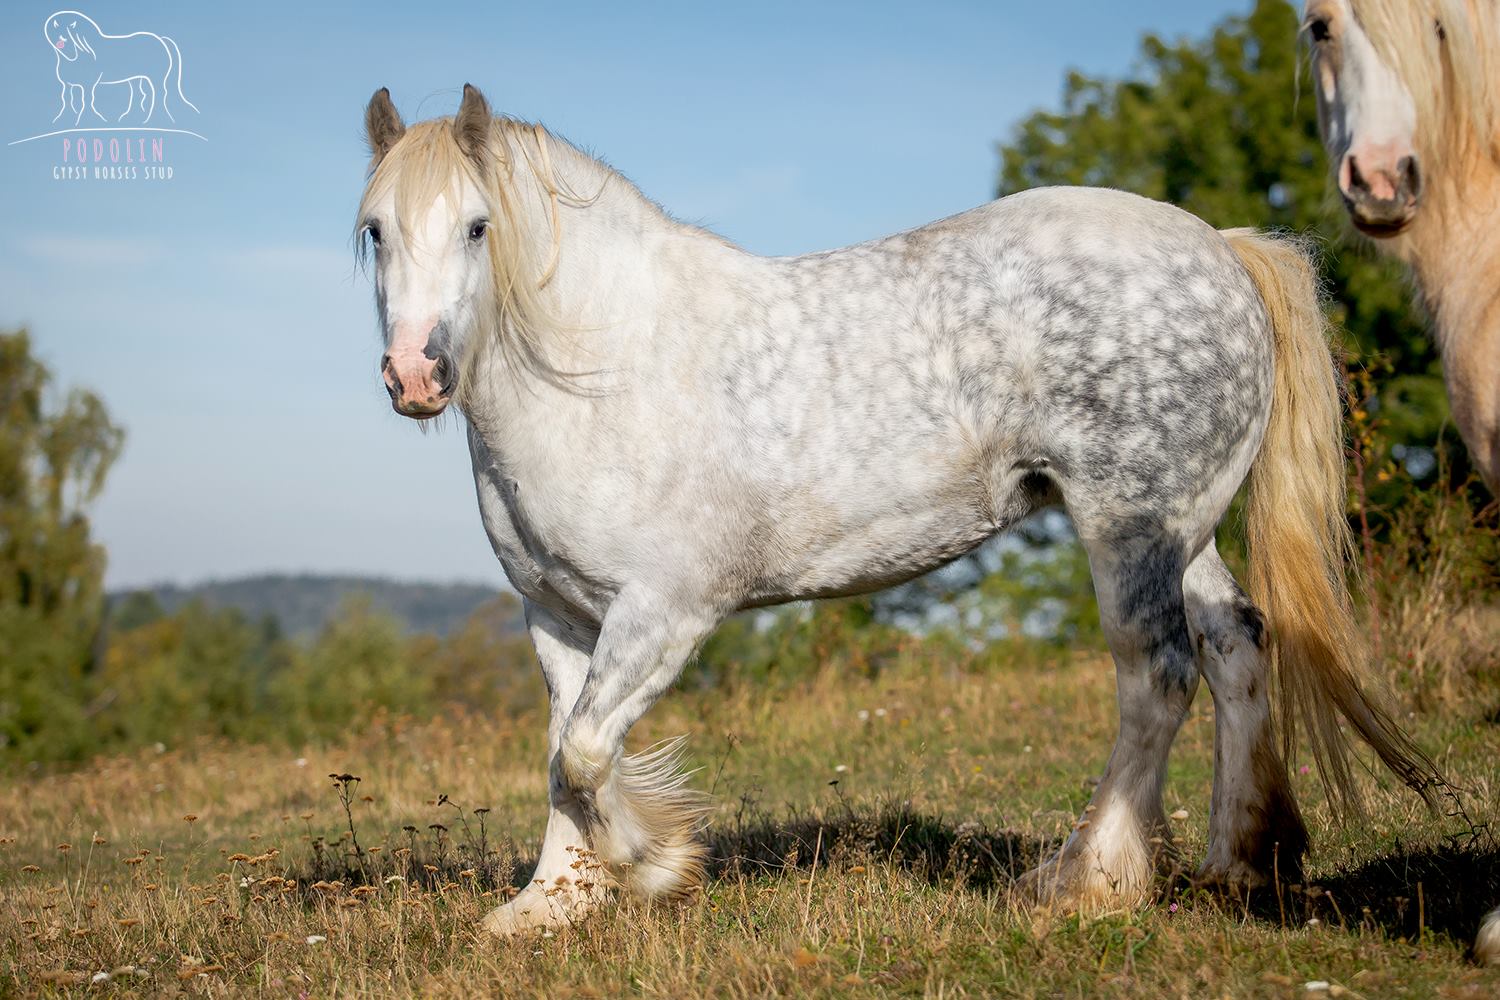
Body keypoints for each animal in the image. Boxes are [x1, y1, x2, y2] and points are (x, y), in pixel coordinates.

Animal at [354, 86, 1440, 941]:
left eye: (479, 226)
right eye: (375, 230)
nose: (415, 375)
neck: (605, 365)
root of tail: (1221, 247)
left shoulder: (667, 608)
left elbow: (585, 753)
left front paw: (656, 867)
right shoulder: (557, 613)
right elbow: (560, 754)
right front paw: (550, 903)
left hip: (1127, 525)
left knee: (1157, 676)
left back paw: (1086, 878)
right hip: (1187, 527)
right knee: (1235, 644)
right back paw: (1237, 862)